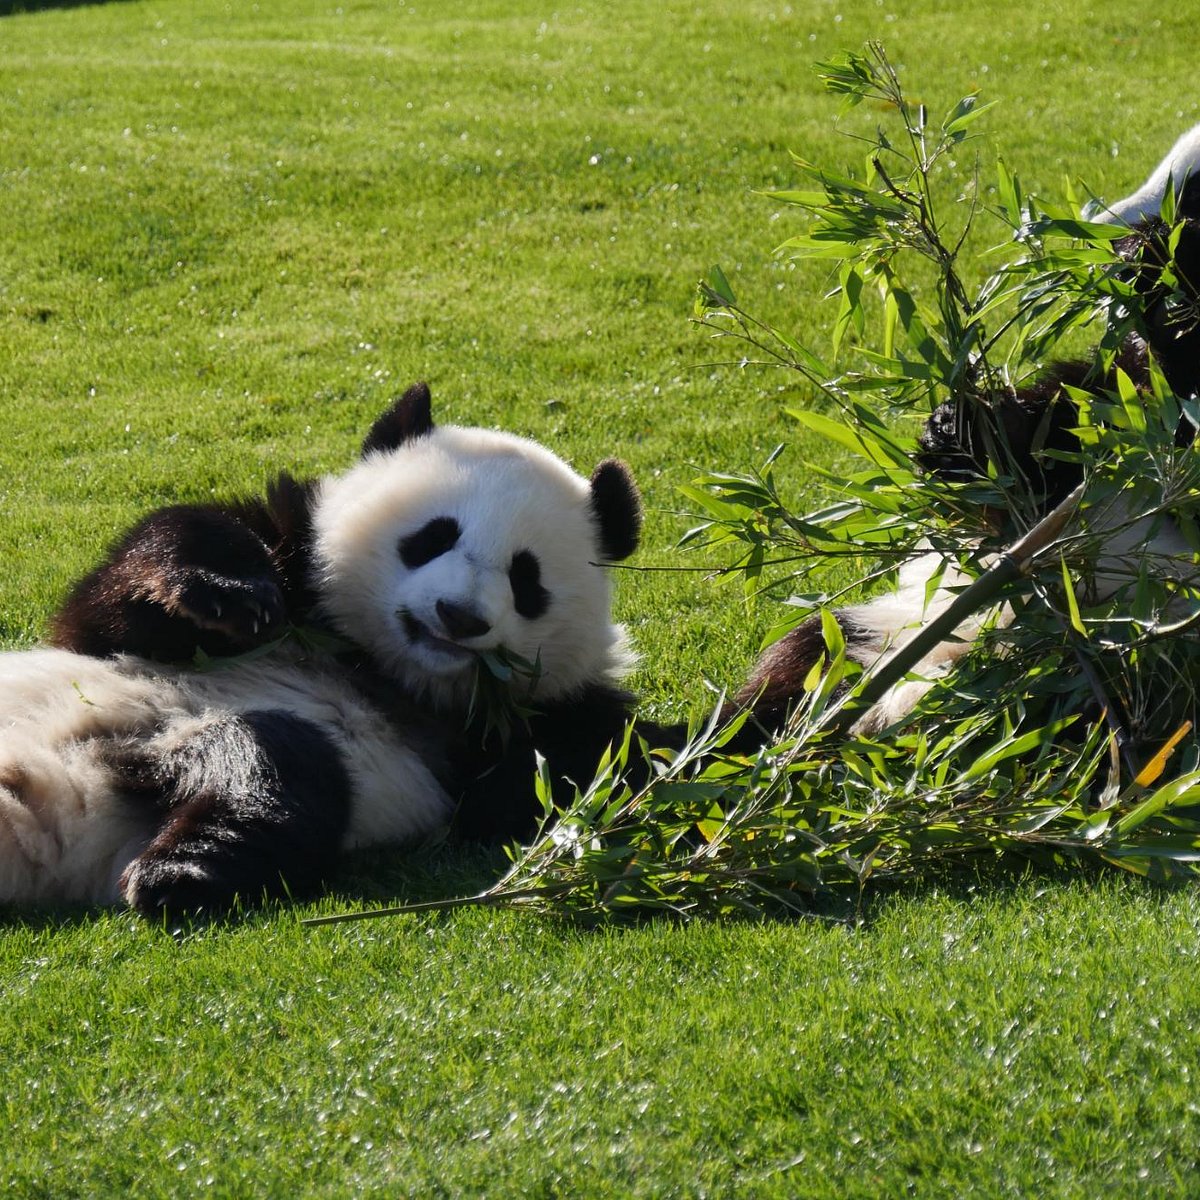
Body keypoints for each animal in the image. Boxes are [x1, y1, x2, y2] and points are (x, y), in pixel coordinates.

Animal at [0, 384, 662, 916]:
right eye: (432, 538)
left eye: (526, 580)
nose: (459, 616)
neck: (384, 671)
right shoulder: (287, 564)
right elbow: (114, 605)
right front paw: (228, 595)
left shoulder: (546, 724)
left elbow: (620, 769)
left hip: (200, 743)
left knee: (274, 767)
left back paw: (182, 871)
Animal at [729, 126, 1200, 734]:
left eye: (1192, 191)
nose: (1107, 236)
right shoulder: (1109, 392)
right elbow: (1051, 434)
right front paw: (960, 432)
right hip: (874, 629)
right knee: (792, 665)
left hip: (1124, 660)